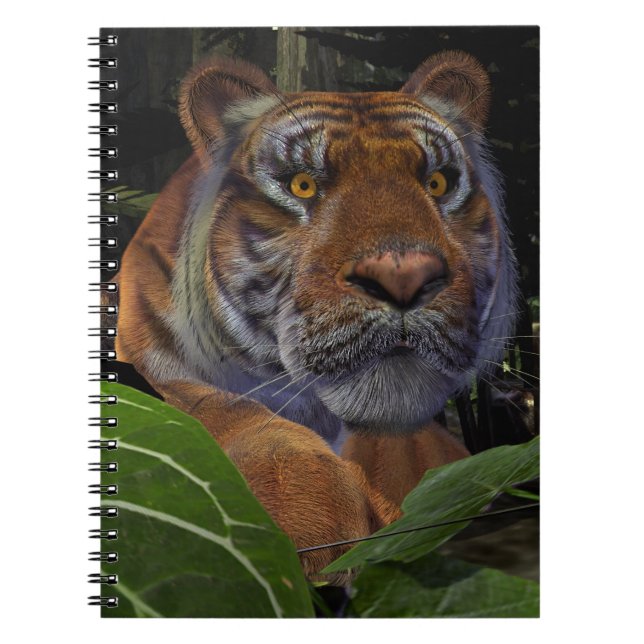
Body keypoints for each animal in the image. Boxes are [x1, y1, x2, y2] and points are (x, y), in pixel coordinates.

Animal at [111, 50, 518, 581]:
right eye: (302, 186)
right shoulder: (151, 370)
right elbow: (217, 409)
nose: (403, 276)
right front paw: (309, 517)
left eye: (438, 182)